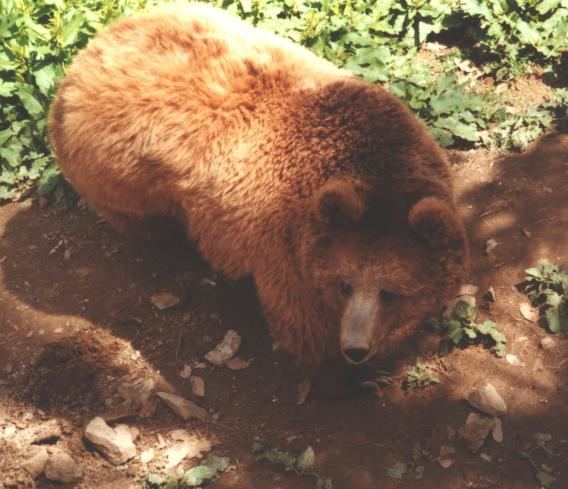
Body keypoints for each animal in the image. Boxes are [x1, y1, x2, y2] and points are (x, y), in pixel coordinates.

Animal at [48, 0, 466, 378]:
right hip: (116, 164)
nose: (355, 348)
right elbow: (302, 324)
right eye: (344, 283)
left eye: (391, 291)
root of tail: (86, 56)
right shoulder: (284, 253)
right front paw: (336, 364)